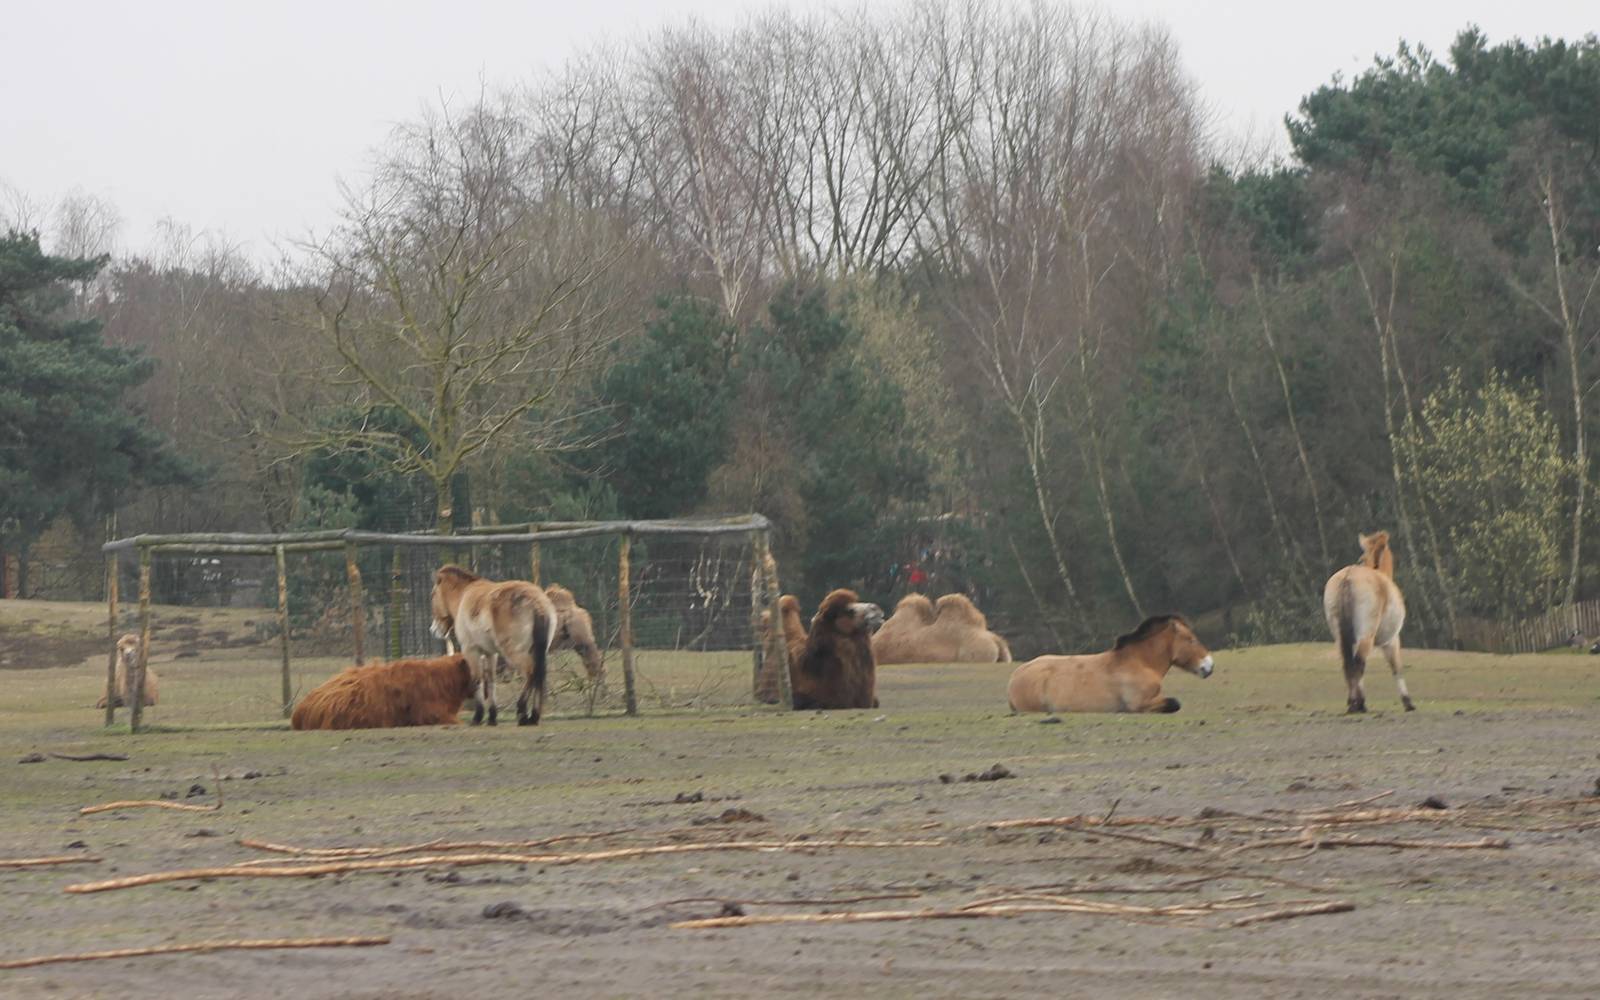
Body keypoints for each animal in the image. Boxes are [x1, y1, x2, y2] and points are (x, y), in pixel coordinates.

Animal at [430, 565, 556, 726]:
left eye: (433, 594)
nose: (434, 630)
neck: (464, 594)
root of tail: (536, 603)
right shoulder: (491, 654)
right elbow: (490, 682)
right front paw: (492, 717)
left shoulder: (471, 651)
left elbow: (477, 680)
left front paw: (478, 716)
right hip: (537, 652)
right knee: (538, 676)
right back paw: (533, 716)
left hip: (515, 653)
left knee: (531, 673)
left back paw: (522, 712)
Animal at [1006, 615, 1214, 714]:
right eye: (1191, 640)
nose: (1209, 666)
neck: (1139, 663)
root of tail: (1015, 677)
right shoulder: (1139, 704)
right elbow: (1174, 703)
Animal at [1323, 531, 1412, 713]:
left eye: (1361, 558)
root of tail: (1348, 577)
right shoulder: (1392, 641)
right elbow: (1396, 668)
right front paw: (1407, 702)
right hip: (1366, 636)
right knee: (1358, 664)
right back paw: (1356, 703)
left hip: (1341, 637)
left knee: (1348, 664)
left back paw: (1354, 702)